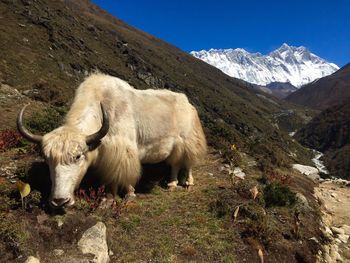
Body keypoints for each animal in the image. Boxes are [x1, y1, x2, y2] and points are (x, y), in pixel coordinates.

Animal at [17, 72, 208, 208]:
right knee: (175, 164)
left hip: (189, 140)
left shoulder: (121, 150)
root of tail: (188, 104)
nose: (59, 201)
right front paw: (112, 197)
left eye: (78, 156)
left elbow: (120, 175)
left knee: (188, 163)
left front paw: (123, 196)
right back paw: (172, 183)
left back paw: (188, 183)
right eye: (47, 159)